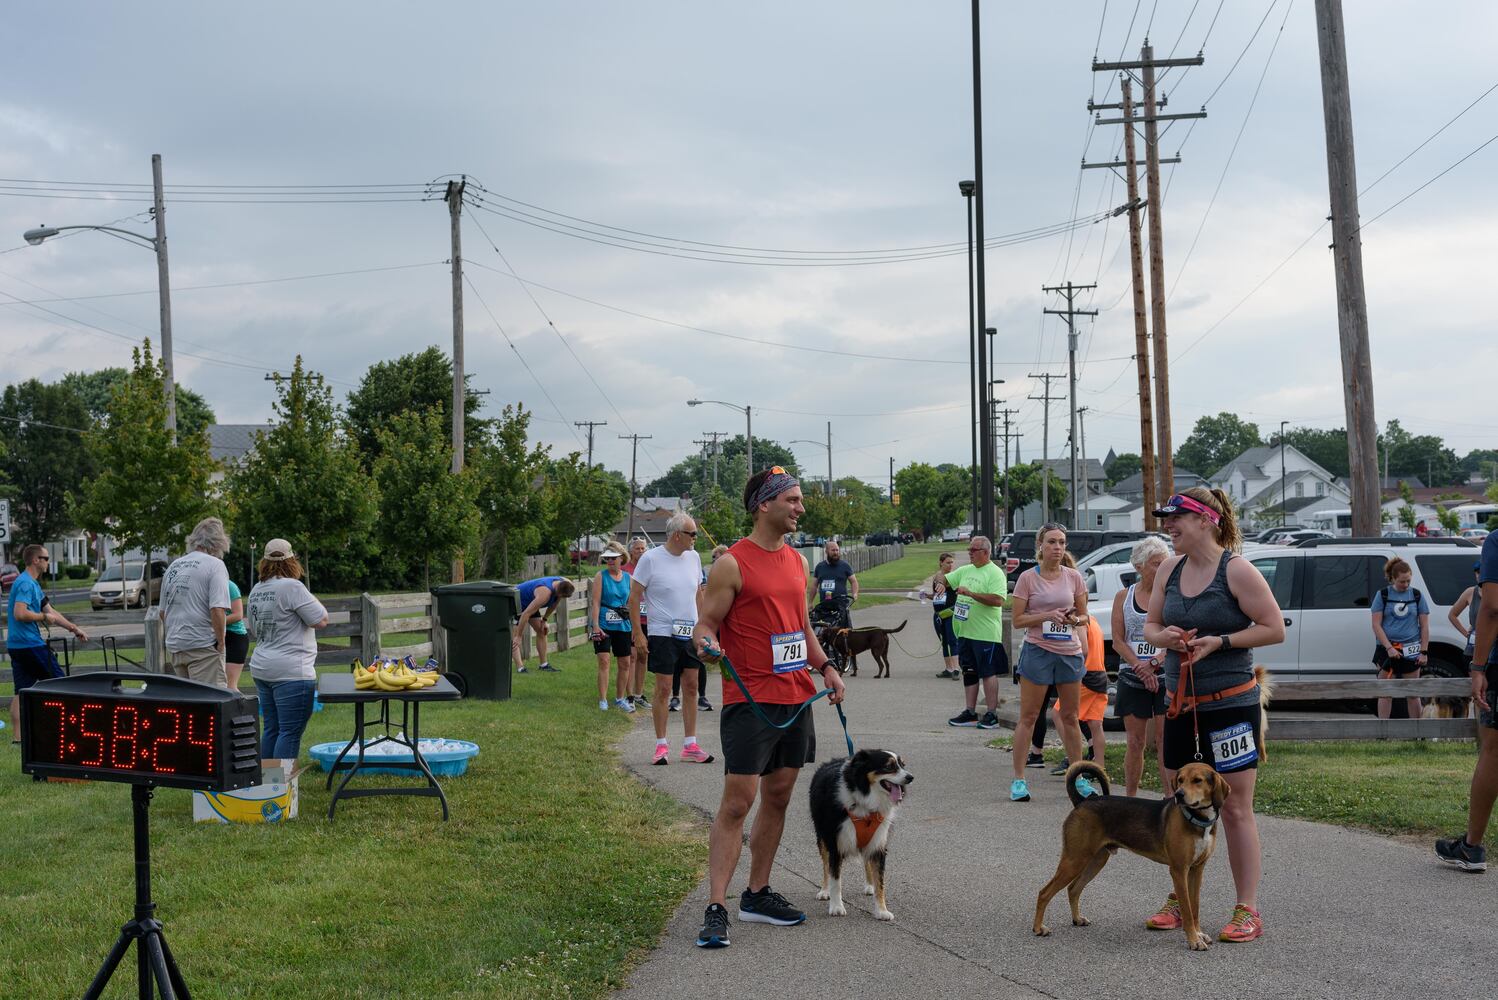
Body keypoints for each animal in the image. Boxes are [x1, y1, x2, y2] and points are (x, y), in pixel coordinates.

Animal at [808, 748, 910, 922]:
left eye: (902, 765)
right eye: (888, 766)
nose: (910, 777)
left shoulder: (878, 844)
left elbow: (880, 882)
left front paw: (881, 910)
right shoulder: (835, 844)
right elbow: (836, 879)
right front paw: (836, 907)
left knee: (866, 862)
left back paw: (869, 885)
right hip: (822, 837)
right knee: (826, 866)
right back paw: (824, 891)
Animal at [1030, 760, 1228, 952]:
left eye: (1197, 780)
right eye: (1180, 780)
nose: (1179, 795)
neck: (1197, 818)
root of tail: (1083, 801)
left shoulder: (1197, 870)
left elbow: (1195, 907)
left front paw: (1199, 934)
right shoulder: (1179, 871)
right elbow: (1187, 910)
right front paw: (1193, 940)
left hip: (1096, 860)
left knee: (1073, 889)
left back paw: (1077, 919)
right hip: (1075, 859)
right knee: (1044, 892)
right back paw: (1038, 928)